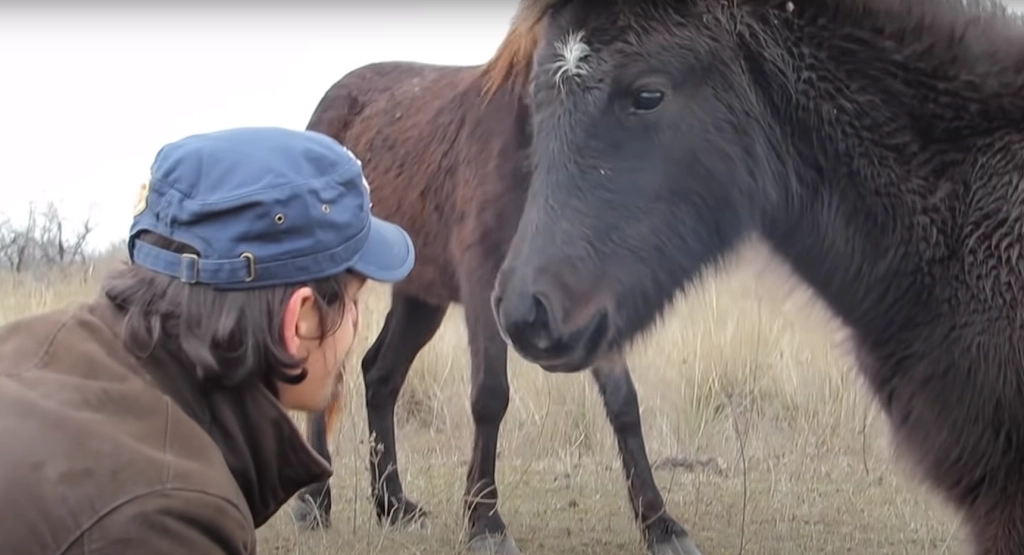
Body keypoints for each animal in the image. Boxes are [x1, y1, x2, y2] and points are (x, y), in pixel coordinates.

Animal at [287, 16, 701, 555]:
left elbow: (624, 404)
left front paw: (662, 525)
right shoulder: (487, 287)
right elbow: (490, 395)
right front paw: (486, 523)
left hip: (421, 296)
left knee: (380, 374)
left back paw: (394, 505)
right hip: (337, 281)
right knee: (329, 370)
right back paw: (314, 502)